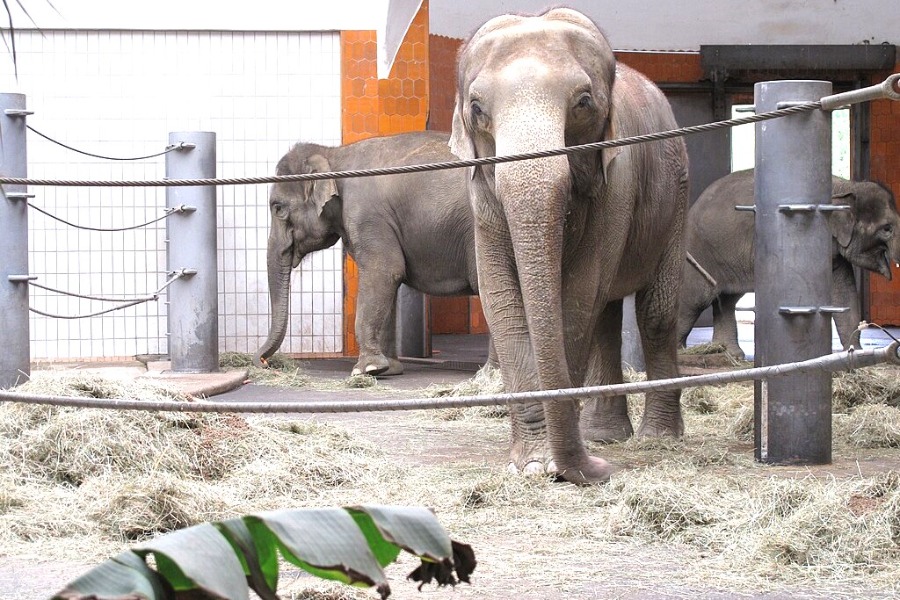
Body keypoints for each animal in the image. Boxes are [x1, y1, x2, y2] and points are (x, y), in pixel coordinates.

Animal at [253, 131, 478, 376]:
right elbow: (390, 283)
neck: (333, 154)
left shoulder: (366, 215)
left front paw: (366, 369)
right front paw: (389, 369)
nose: (263, 362)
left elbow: (384, 271)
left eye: (278, 208)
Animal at [450, 7, 688, 486]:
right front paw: (533, 466)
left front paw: (553, 465)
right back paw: (603, 436)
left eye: (583, 103)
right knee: (607, 317)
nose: (598, 471)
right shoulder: (481, 196)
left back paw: (656, 438)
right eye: (477, 108)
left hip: (677, 197)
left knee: (654, 313)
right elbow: (501, 300)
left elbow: (577, 296)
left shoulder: (618, 179)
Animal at [676, 166, 900, 358]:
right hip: (699, 250)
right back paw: (681, 354)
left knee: (727, 300)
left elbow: (844, 294)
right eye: (887, 229)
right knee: (695, 298)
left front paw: (853, 355)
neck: (847, 185)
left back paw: (730, 355)